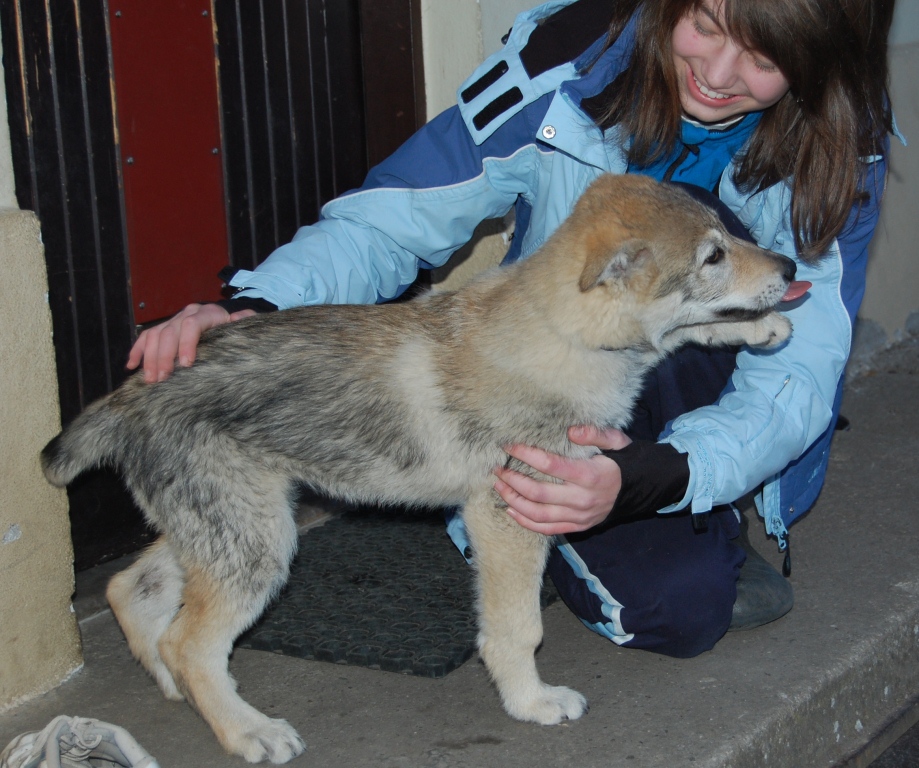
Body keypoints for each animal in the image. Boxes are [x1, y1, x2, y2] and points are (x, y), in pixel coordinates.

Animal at [45, 174, 796, 760]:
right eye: (711, 256)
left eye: (727, 241)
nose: (790, 269)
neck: (558, 336)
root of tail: (129, 395)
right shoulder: (507, 516)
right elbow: (517, 628)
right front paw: (531, 703)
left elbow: (685, 333)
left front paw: (761, 327)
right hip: (258, 543)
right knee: (192, 643)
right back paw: (248, 731)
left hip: (236, 529)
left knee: (132, 590)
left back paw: (174, 688)